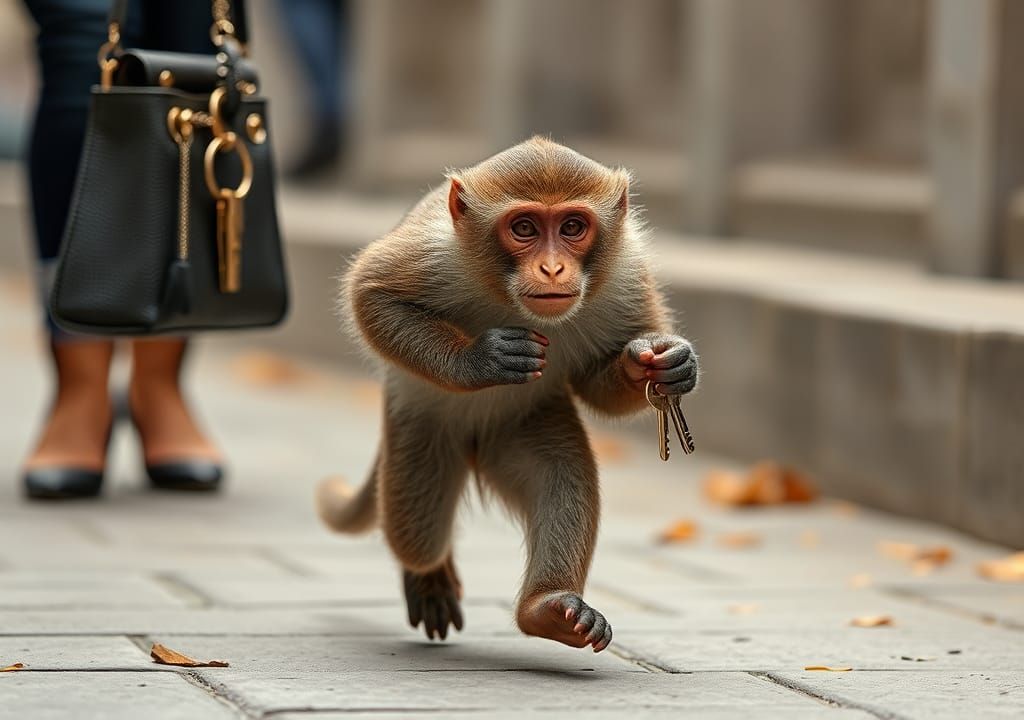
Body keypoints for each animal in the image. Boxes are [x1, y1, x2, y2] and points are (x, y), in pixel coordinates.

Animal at [318, 136, 698, 653]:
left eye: (573, 227)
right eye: (524, 228)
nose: (553, 268)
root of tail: (475, 444)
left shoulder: (626, 271)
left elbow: (597, 386)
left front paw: (663, 364)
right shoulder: (433, 252)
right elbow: (371, 294)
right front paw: (480, 360)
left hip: (520, 425)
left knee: (560, 471)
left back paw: (547, 609)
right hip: (419, 428)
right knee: (417, 530)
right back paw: (430, 574)